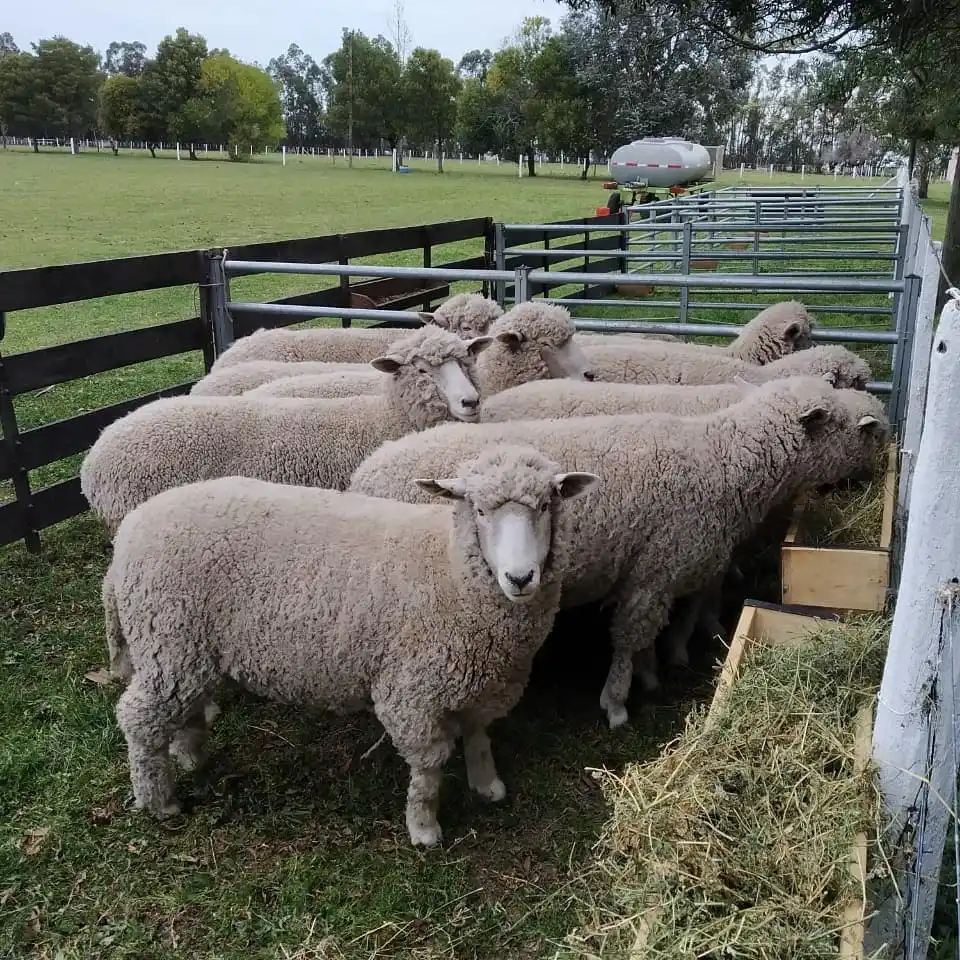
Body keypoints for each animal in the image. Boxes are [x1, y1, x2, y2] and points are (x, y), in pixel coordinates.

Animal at [103, 444, 600, 846]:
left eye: (546, 505)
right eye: (477, 510)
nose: (520, 577)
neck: (449, 568)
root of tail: (129, 532)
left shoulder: (483, 682)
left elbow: (479, 737)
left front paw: (487, 785)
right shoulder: (412, 693)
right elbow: (428, 769)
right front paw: (424, 828)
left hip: (187, 650)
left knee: (183, 706)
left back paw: (189, 756)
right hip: (169, 640)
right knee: (139, 718)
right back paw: (158, 799)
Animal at [348, 376, 888, 728]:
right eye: (855, 427)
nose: (878, 466)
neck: (723, 460)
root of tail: (367, 470)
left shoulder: (666, 568)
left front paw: (652, 670)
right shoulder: (657, 568)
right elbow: (632, 638)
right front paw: (619, 700)